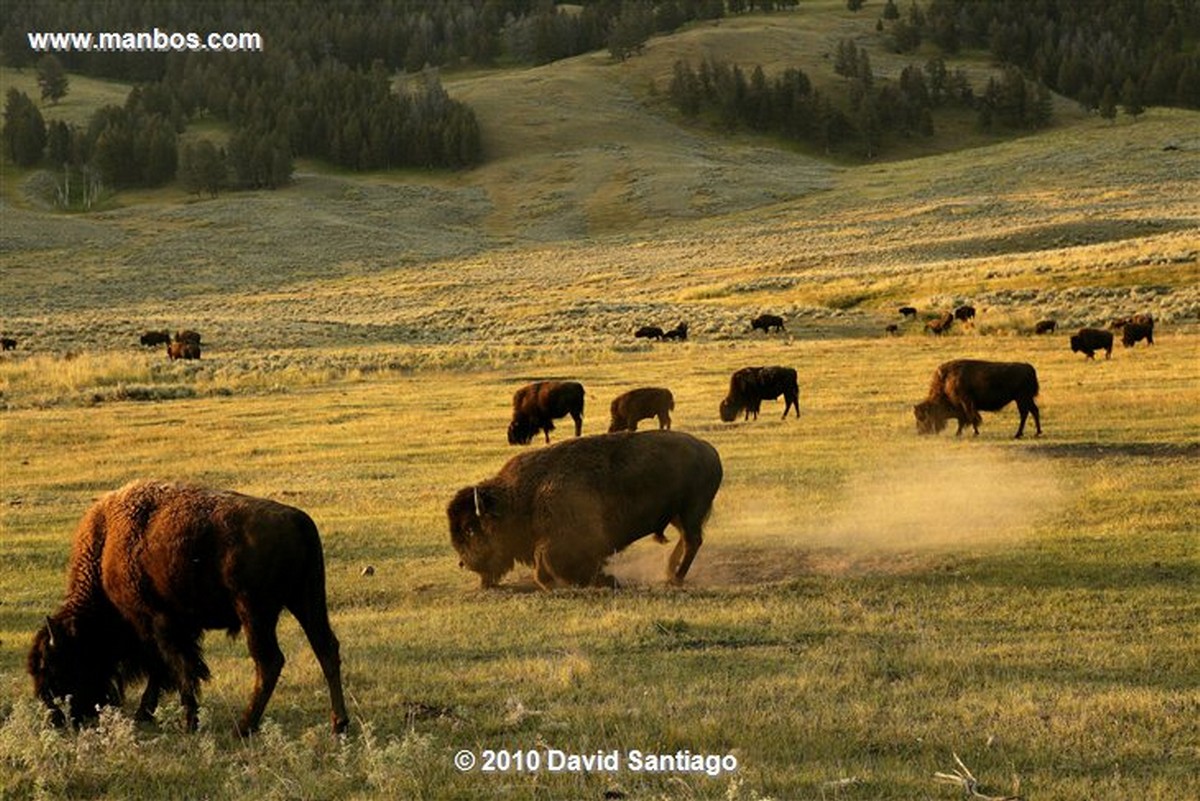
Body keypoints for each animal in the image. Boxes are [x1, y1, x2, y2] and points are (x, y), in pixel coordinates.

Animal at [27, 479, 348, 733]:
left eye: (54, 667)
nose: (57, 720)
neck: (106, 548)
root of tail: (298, 520)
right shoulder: (176, 628)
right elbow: (167, 670)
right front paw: (149, 714)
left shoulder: (159, 624)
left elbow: (178, 669)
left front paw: (187, 721)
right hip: (306, 600)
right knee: (326, 649)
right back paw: (339, 725)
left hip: (256, 613)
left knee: (269, 662)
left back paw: (243, 728)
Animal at [448, 431, 720, 587]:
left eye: (471, 529)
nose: (463, 563)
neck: (523, 496)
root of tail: (709, 450)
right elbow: (543, 568)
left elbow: (546, 567)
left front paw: (604, 579)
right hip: (678, 515)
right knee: (686, 540)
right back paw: (669, 571)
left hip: (690, 511)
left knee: (692, 541)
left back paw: (675, 578)